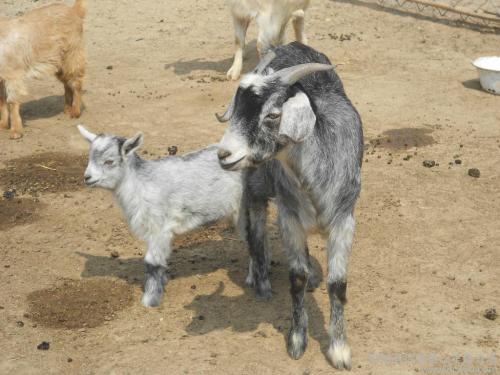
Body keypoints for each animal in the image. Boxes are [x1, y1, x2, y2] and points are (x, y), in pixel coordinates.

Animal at [0, 0, 85, 140]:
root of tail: (74, 11)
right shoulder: (2, 78)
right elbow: (2, 100)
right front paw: (3, 125)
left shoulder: (13, 75)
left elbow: (12, 101)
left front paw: (16, 131)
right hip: (59, 61)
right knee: (66, 83)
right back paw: (67, 108)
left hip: (72, 54)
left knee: (76, 82)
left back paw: (76, 111)